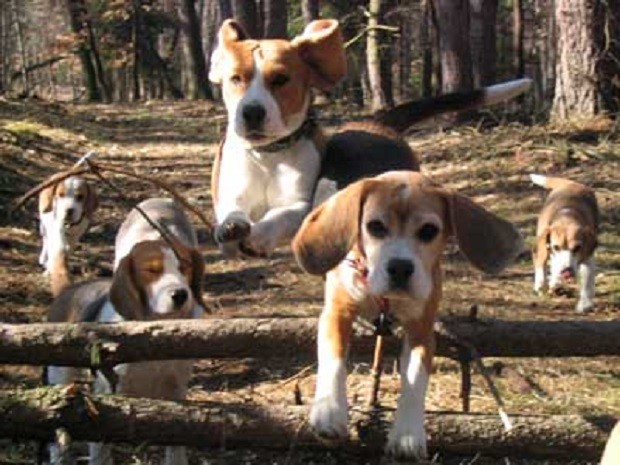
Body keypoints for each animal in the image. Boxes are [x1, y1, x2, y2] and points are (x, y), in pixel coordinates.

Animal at [47, 197, 206, 464]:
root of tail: (70, 290)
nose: (181, 295)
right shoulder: (109, 398)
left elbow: (176, 450)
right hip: (59, 377)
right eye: (151, 271)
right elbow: (101, 453)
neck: (158, 332)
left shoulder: (177, 392)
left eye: (184, 267)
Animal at [208, 18, 532, 258]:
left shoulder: (300, 204)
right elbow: (232, 210)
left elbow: (281, 216)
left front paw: (258, 236)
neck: (268, 154)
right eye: (235, 78)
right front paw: (232, 228)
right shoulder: (231, 192)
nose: (251, 112)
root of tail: (376, 121)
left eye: (280, 79)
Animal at [292, 169, 524, 456]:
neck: (385, 299)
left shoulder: (421, 330)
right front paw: (329, 412)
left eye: (429, 231)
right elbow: (333, 360)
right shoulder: (337, 313)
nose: (400, 268)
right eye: (375, 227)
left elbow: (416, 376)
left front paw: (407, 435)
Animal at [532, 174, 600, 312]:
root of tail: (571, 183)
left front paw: (584, 304)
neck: (567, 219)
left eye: (577, 248)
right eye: (556, 247)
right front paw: (540, 283)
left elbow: (587, 281)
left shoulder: (588, 258)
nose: (566, 270)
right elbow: (542, 263)